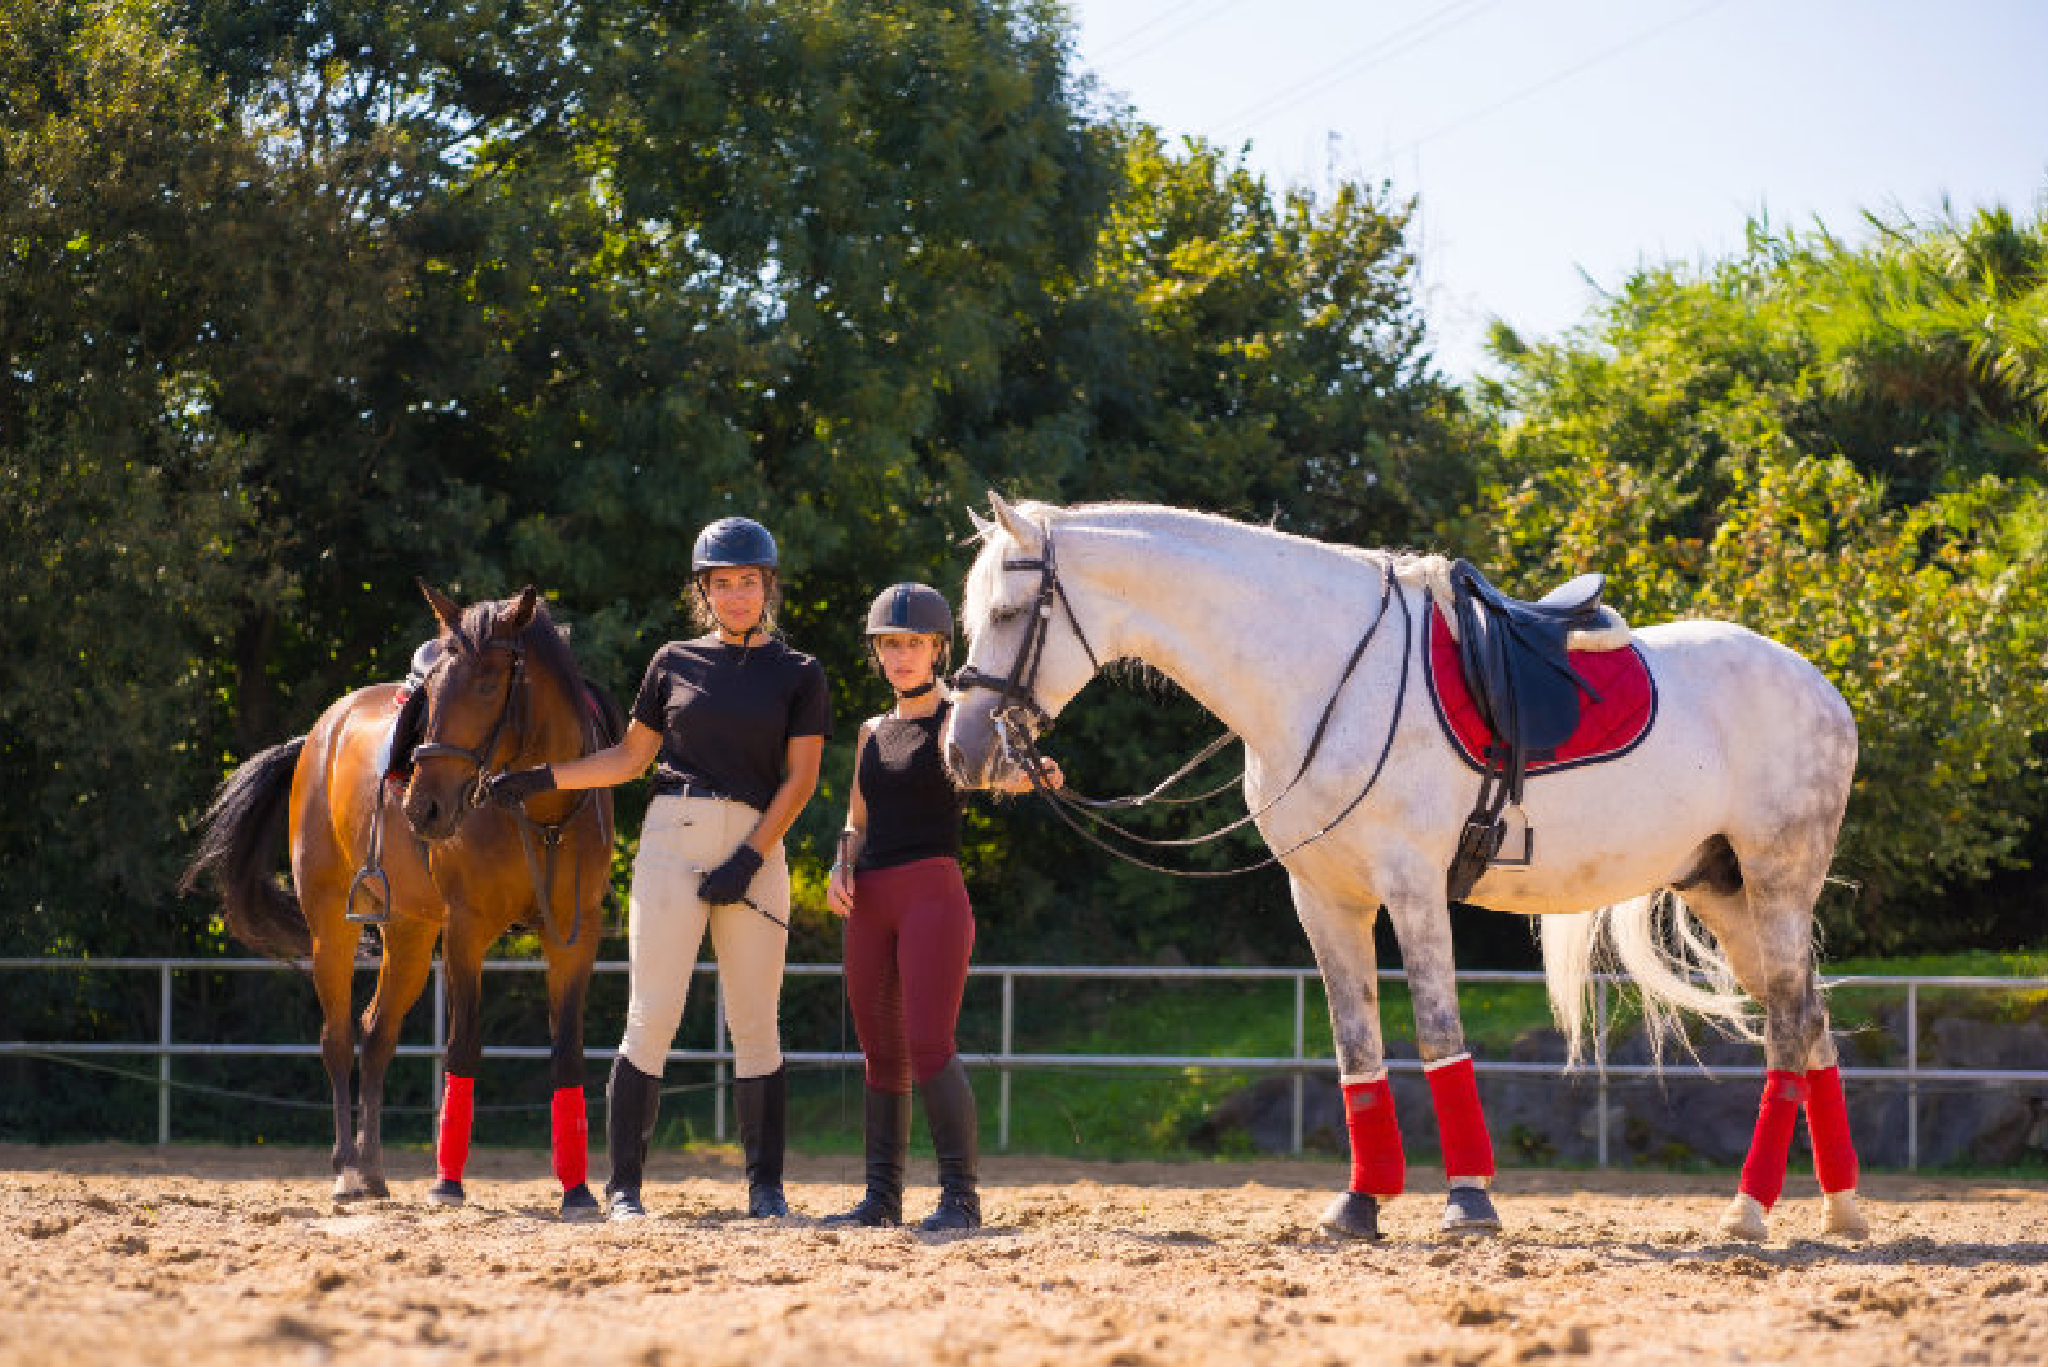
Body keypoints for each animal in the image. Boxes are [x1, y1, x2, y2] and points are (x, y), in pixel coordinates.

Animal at [183, 584, 622, 1219]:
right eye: (433, 689)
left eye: (489, 682)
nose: (424, 806)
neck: (537, 808)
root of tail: (322, 731)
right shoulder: (466, 932)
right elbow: (463, 1046)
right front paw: (447, 1184)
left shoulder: (574, 934)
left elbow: (567, 1052)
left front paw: (577, 1191)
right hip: (332, 928)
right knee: (339, 1039)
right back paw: (346, 1171)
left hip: (411, 935)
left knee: (376, 1034)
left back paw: (372, 1171)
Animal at [944, 494, 1869, 1244]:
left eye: (1010, 609)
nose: (964, 750)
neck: (1322, 677)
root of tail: (1821, 686)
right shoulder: (1324, 898)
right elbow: (1356, 1042)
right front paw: (1359, 1203)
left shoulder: (1414, 888)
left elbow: (1437, 1031)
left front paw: (1469, 1201)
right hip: (1724, 890)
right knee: (1811, 1019)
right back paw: (1842, 1209)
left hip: (1778, 883)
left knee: (1790, 1024)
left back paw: (1749, 1210)